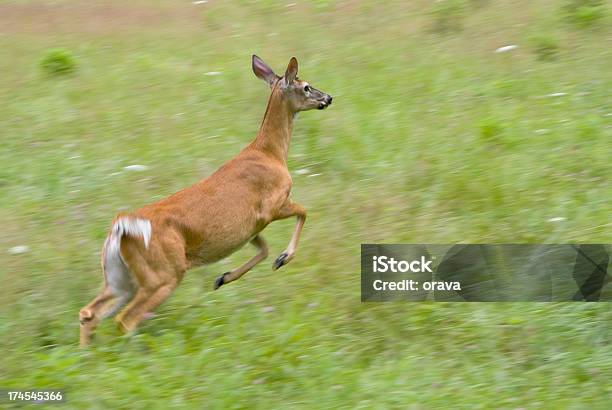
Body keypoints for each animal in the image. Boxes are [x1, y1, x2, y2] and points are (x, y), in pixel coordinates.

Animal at [80, 55, 334, 346]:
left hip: (120, 277)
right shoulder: (271, 207)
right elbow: (303, 212)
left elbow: (263, 249)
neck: (270, 154)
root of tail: (121, 227)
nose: (328, 97)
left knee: (89, 312)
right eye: (306, 86)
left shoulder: (248, 229)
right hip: (164, 274)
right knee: (125, 319)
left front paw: (223, 278)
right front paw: (283, 258)